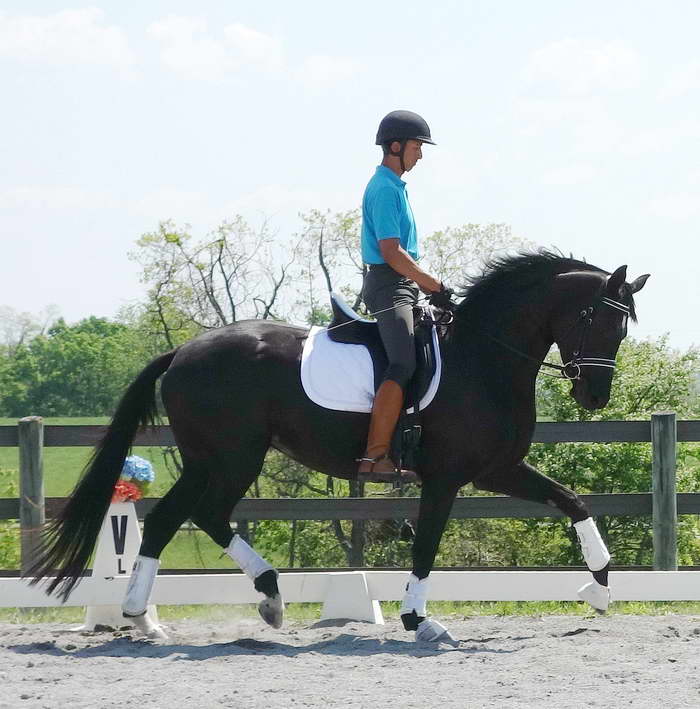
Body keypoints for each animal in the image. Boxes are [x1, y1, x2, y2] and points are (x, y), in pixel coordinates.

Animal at [30, 250, 648, 640]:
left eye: (621, 329)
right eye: (595, 320)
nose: (596, 395)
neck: (483, 357)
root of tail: (184, 350)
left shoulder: (497, 468)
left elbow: (572, 501)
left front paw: (599, 589)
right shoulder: (448, 477)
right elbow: (426, 546)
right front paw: (420, 621)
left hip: (214, 459)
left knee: (174, 519)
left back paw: (155, 616)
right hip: (231, 456)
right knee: (198, 514)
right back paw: (247, 597)